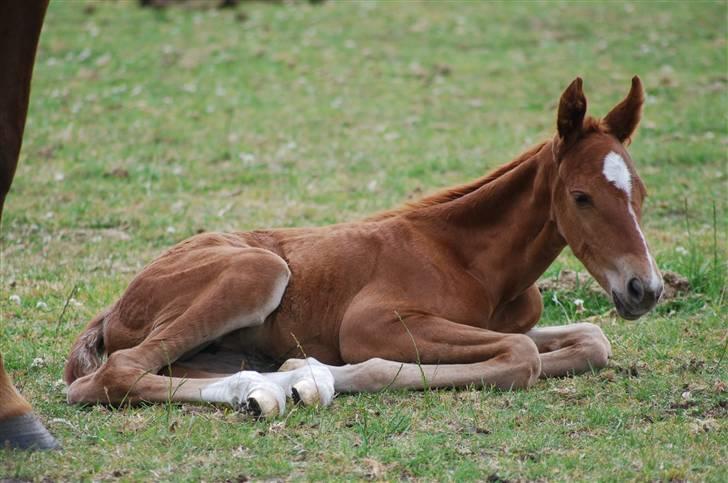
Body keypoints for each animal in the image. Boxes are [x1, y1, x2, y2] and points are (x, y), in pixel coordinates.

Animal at [65, 77, 664, 418]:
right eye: (581, 196)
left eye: (640, 191)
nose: (646, 288)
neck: (467, 258)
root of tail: (116, 304)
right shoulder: (373, 324)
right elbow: (520, 357)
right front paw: (332, 375)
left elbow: (590, 341)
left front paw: (303, 372)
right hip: (258, 270)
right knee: (113, 374)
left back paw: (272, 387)